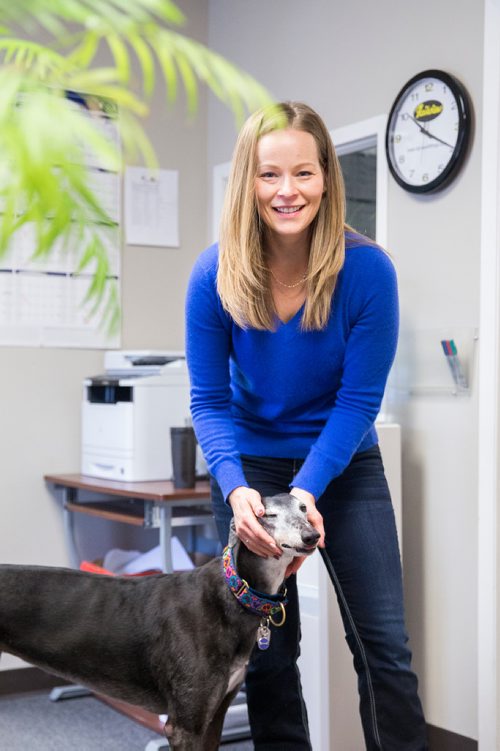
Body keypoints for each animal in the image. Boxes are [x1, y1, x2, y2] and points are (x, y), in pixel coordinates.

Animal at [0, 494, 318, 751]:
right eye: (267, 514)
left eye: (304, 508)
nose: (312, 535)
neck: (233, 592)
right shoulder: (184, 726)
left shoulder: (215, 715)